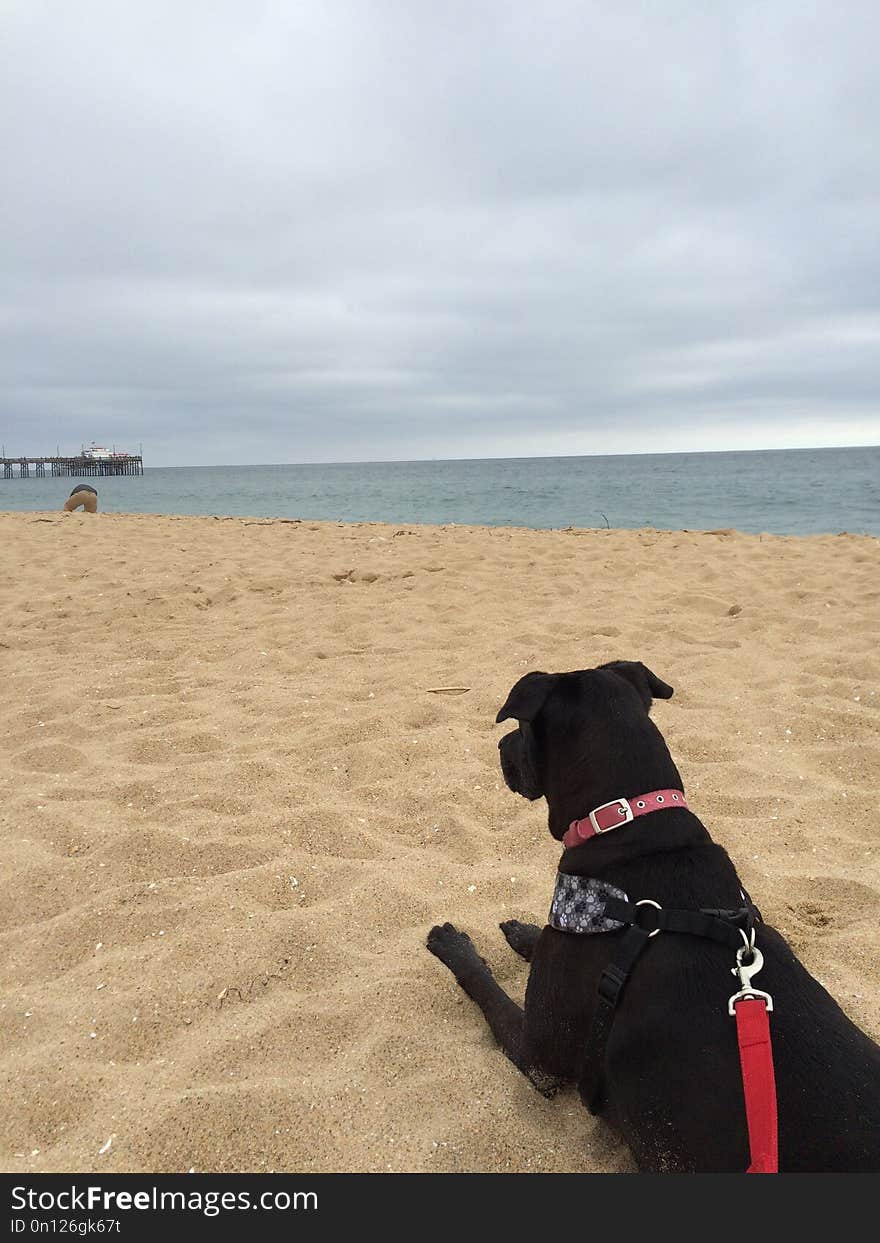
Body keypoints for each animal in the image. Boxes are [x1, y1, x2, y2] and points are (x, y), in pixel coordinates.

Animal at [427, 661, 879, 1173]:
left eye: (521, 728)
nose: (501, 746)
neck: (632, 827)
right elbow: (539, 937)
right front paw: (521, 933)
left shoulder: (537, 1057)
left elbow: (482, 985)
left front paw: (451, 944)